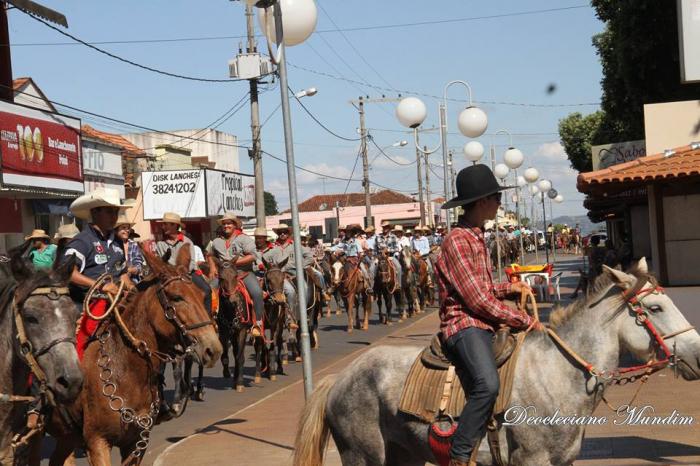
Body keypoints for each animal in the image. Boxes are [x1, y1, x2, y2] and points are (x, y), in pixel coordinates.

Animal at [41, 246, 221, 464]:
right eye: (176, 297)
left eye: (201, 295)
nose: (213, 349)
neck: (126, 368)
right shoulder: (97, 441)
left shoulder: (136, 443)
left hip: (66, 436)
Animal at [292, 258, 700, 466]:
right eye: (655, 307)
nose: (696, 352)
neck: (557, 376)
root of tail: (339, 378)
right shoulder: (531, 460)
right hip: (364, 455)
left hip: (403, 455)